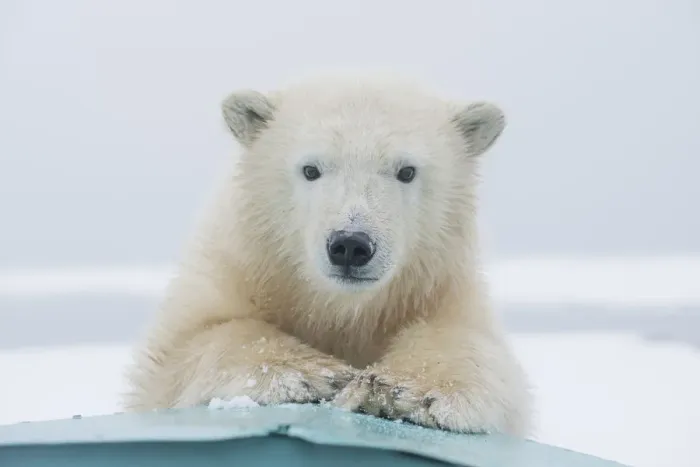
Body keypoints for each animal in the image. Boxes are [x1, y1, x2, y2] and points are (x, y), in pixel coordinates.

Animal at [122, 72, 533, 436]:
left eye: (406, 171)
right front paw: (317, 375)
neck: (340, 308)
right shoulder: (235, 266)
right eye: (311, 169)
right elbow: (186, 348)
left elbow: (471, 347)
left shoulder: (441, 288)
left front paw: (405, 390)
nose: (350, 245)